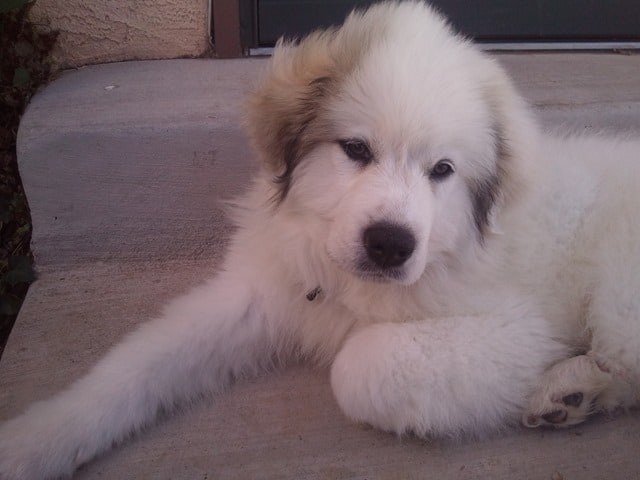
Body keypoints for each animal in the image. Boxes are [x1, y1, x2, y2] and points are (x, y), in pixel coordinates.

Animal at [1, 1, 640, 478]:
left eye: (442, 170)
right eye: (355, 149)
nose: (390, 245)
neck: (344, 280)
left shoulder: (518, 328)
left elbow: (358, 365)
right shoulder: (256, 294)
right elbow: (133, 366)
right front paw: (35, 441)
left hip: (618, 296)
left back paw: (568, 388)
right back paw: (572, 395)